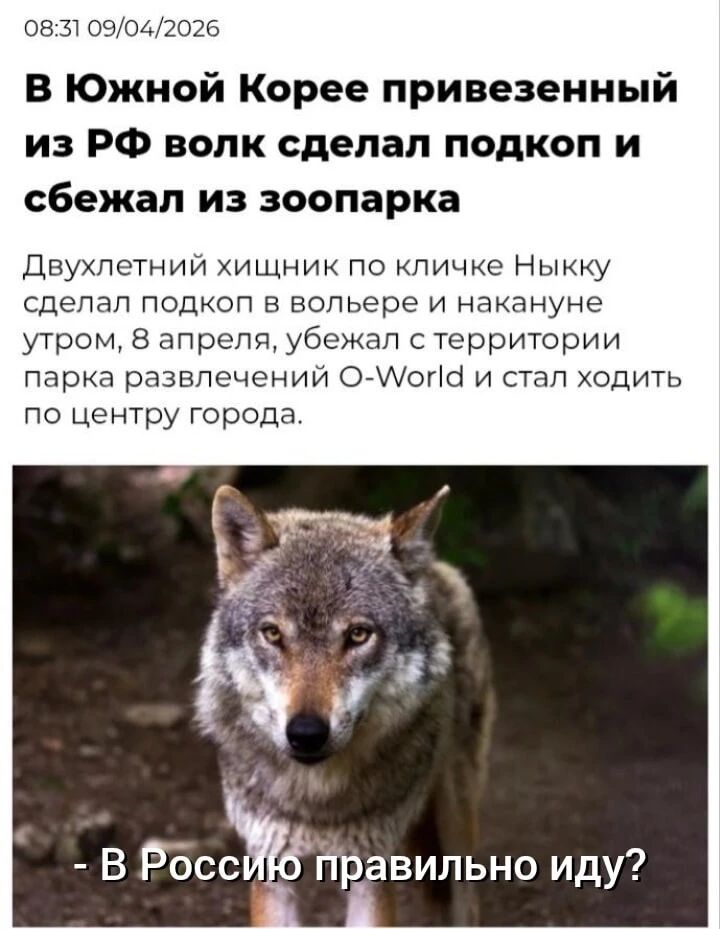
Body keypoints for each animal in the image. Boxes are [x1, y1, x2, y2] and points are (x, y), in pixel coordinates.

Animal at [196, 484, 495, 927]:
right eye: (272, 633)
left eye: (357, 635)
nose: (305, 733)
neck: (317, 801)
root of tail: (437, 568)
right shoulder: (270, 866)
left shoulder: (373, 868)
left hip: (457, 817)